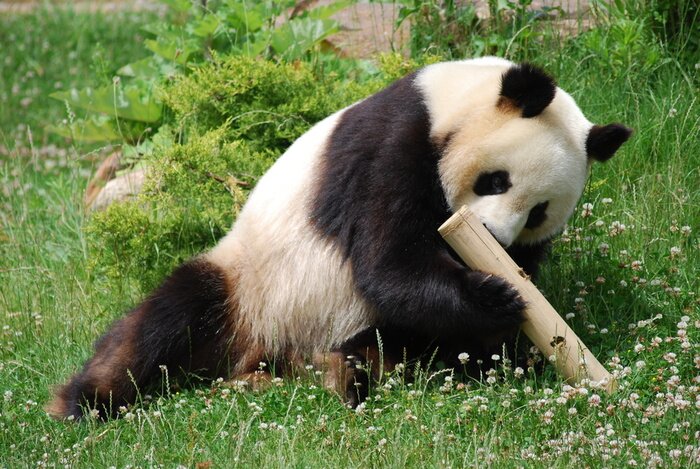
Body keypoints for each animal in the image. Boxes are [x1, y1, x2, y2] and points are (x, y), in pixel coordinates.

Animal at [48, 57, 631, 419]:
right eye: (496, 181)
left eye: (537, 213)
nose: (491, 236)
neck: (450, 98)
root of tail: (270, 359)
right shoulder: (393, 146)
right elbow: (389, 264)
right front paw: (496, 297)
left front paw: (513, 324)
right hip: (251, 286)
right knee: (169, 320)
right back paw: (86, 402)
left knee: (386, 342)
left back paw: (348, 375)